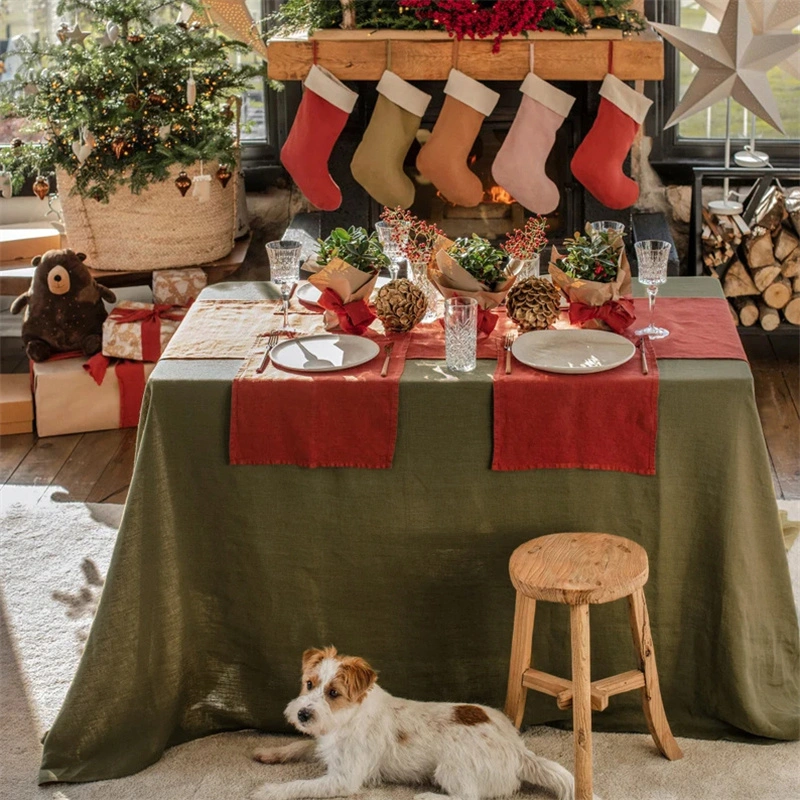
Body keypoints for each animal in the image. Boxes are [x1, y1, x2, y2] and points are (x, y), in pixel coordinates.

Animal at [253, 648, 572, 800]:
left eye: (333, 693)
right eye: (309, 684)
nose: (302, 714)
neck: (349, 717)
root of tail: (519, 750)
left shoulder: (343, 779)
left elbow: (299, 785)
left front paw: (268, 791)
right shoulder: (324, 743)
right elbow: (300, 745)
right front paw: (270, 753)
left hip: (449, 768)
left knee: (467, 797)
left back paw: (428, 796)